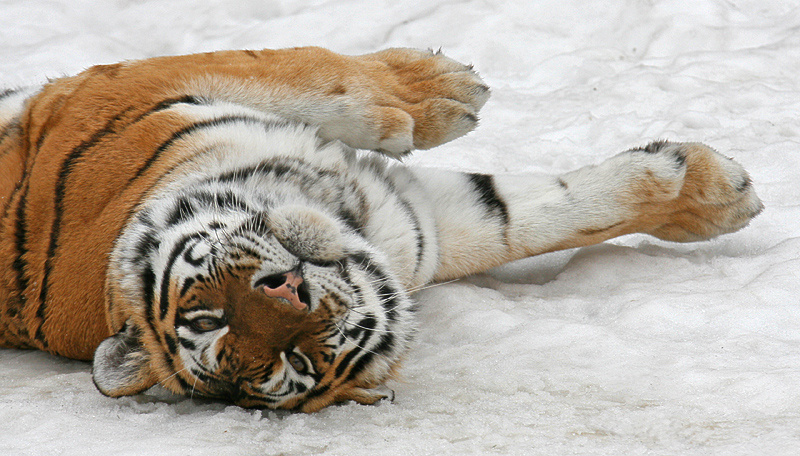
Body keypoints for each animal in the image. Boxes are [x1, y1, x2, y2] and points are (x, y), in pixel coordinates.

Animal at [0, 47, 763, 412]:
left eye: (208, 314)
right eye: (293, 362)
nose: (291, 293)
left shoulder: (113, 87)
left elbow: (310, 72)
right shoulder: (419, 228)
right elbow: (516, 220)